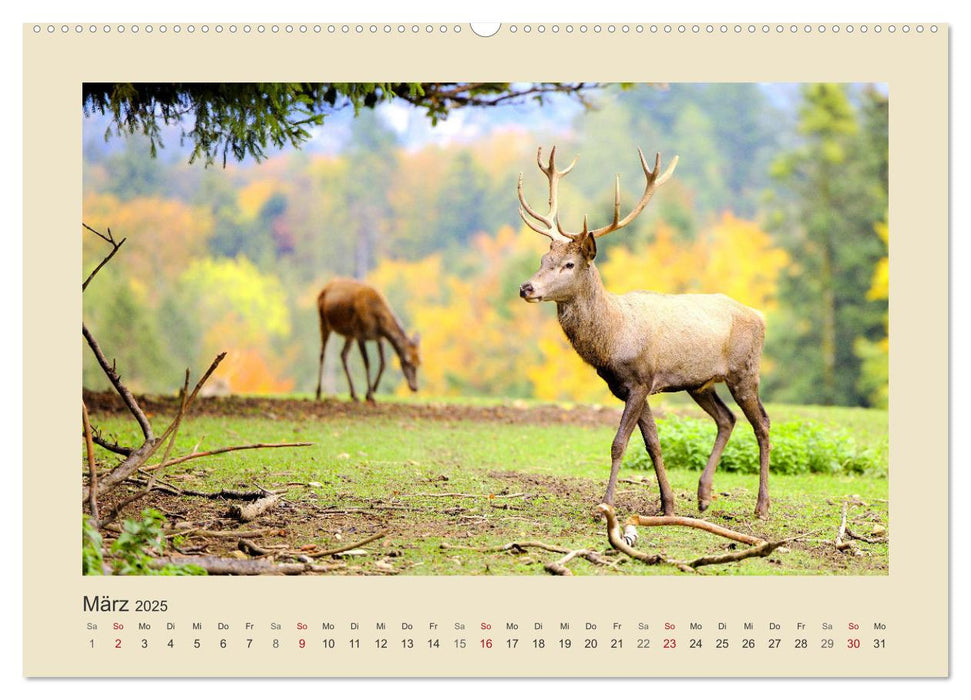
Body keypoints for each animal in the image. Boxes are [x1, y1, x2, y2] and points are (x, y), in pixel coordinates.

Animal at [520, 146, 772, 520]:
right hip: (700, 383)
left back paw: (761, 505)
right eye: (542, 259)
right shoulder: (627, 387)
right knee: (726, 419)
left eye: (569, 264)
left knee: (763, 424)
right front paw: (667, 505)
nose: (526, 287)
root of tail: (760, 316)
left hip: (745, 371)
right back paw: (703, 495)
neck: (612, 339)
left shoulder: (641, 380)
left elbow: (618, 443)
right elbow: (653, 443)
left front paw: (606, 504)